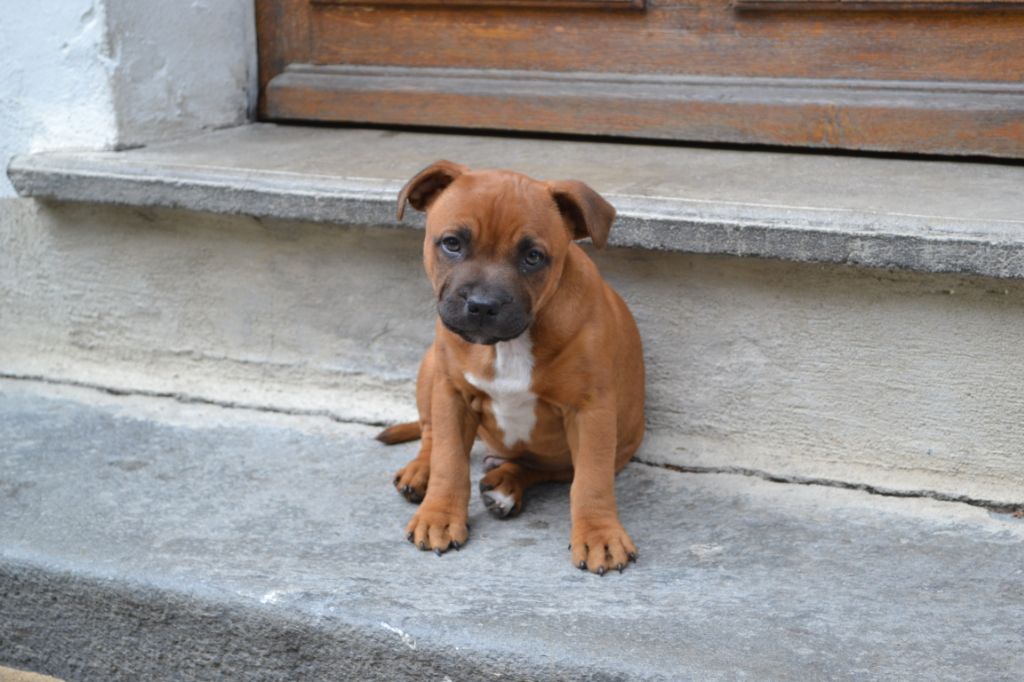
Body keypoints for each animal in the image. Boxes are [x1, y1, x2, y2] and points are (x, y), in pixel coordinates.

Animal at [380, 160, 643, 573]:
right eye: (452, 243)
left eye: (533, 257)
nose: (482, 305)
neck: (508, 345)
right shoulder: (451, 394)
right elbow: (449, 461)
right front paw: (439, 515)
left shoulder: (591, 412)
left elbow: (590, 481)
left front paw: (599, 535)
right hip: (431, 366)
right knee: (430, 433)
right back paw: (422, 470)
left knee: (550, 468)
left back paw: (505, 483)